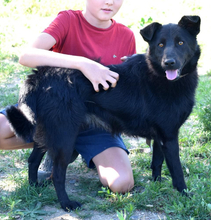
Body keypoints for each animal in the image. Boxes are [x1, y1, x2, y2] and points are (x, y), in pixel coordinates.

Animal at [6, 15, 201, 211]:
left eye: (181, 42)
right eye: (160, 45)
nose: (169, 63)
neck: (160, 75)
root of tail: (39, 75)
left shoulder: (161, 135)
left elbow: (157, 163)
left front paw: (157, 187)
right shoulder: (169, 137)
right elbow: (177, 172)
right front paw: (186, 196)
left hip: (46, 131)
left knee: (32, 160)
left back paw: (34, 188)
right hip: (64, 137)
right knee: (57, 174)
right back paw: (66, 204)